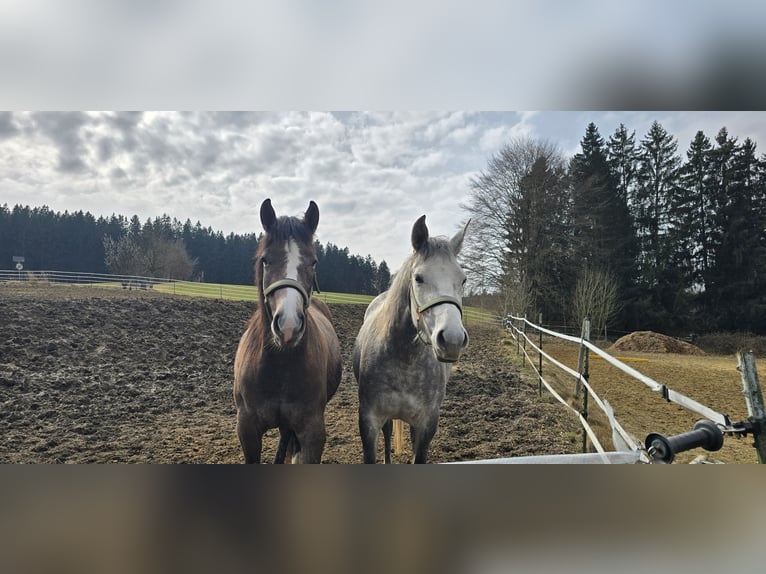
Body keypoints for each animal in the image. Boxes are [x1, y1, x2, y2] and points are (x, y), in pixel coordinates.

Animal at [233, 198, 342, 463]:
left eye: (313, 262)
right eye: (265, 260)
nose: (289, 326)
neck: (278, 365)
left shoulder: (312, 432)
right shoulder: (247, 430)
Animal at [353, 215, 470, 463]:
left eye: (463, 280)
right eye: (419, 278)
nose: (452, 339)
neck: (405, 359)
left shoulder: (427, 424)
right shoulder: (368, 421)